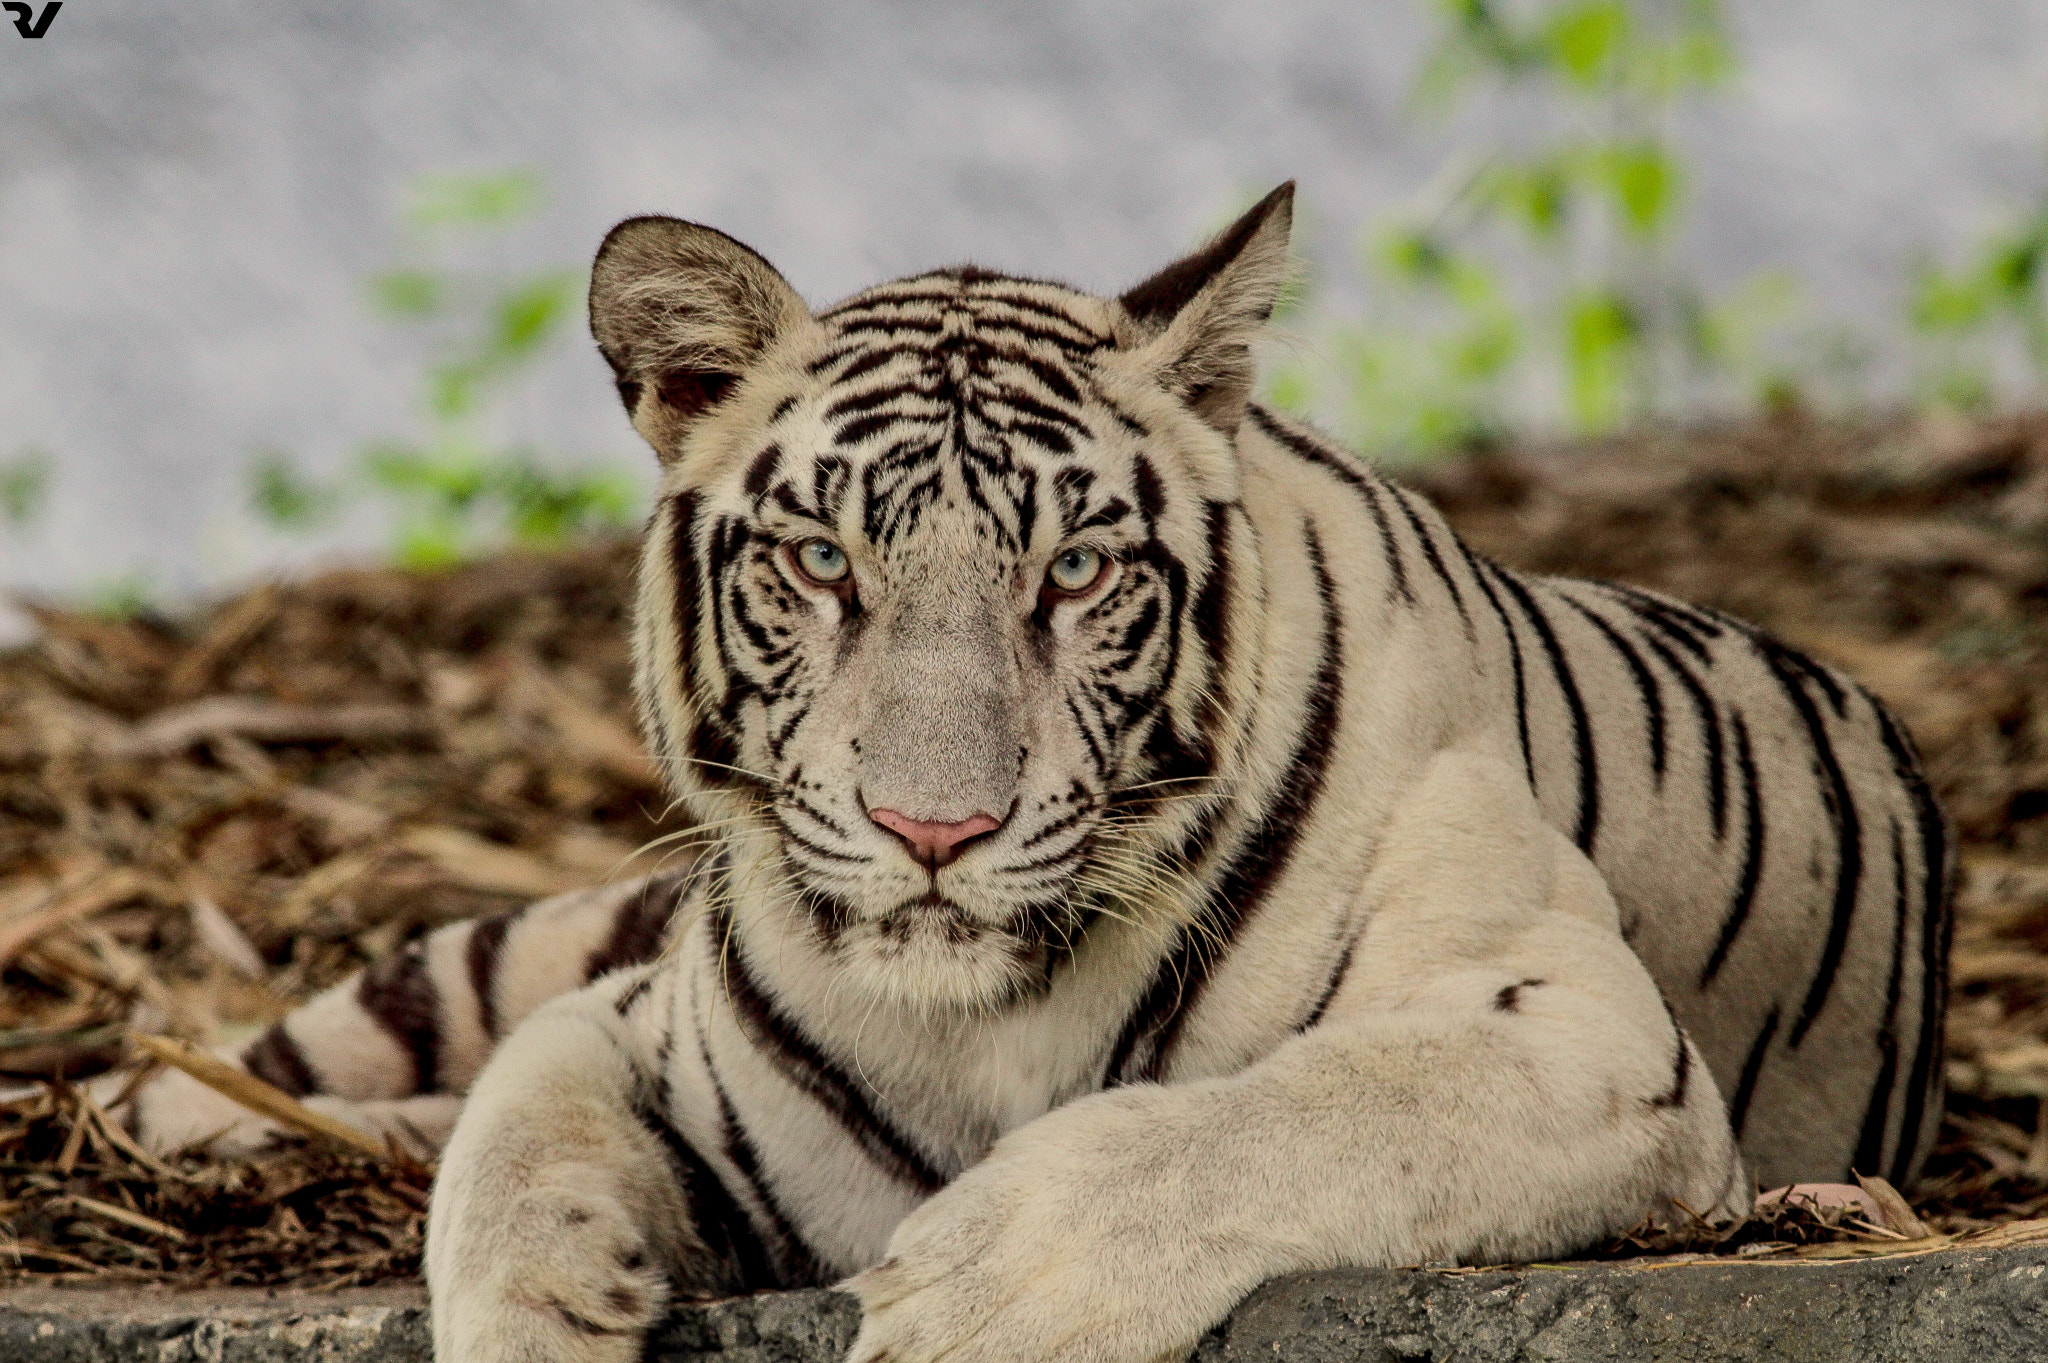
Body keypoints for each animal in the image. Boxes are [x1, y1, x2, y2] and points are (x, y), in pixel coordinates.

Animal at [132, 182, 1950, 1363]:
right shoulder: (645, 1027)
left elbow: (1282, 1109)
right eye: (821, 559)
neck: (983, 1022)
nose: (933, 828)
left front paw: (980, 1287)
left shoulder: (1575, 1021)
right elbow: (507, 1142)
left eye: (1074, 572)